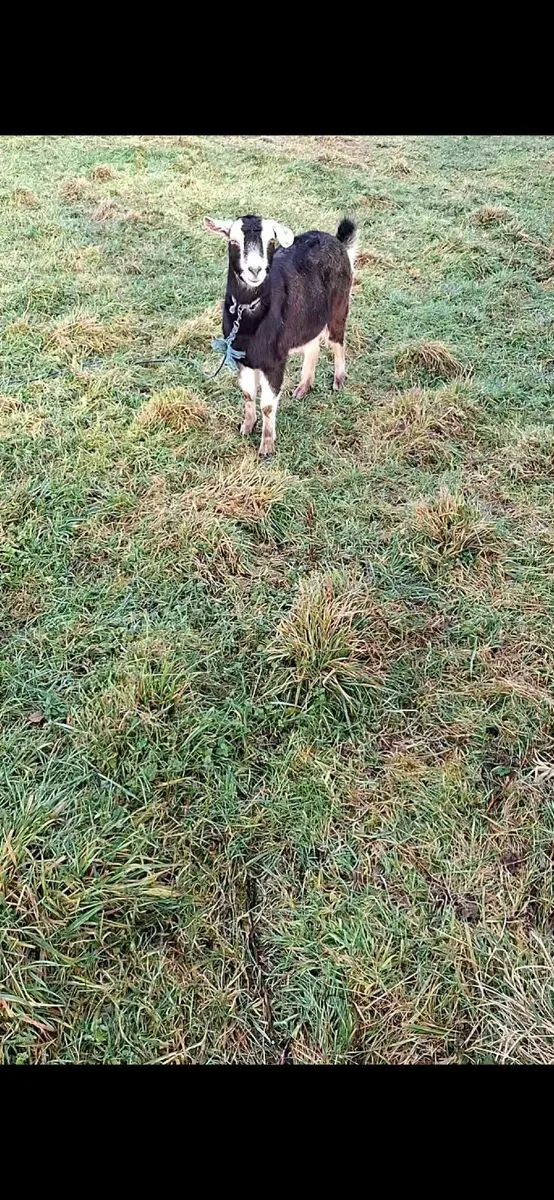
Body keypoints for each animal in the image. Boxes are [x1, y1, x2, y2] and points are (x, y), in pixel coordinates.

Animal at [204, 213, 358, 456]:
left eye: (270, 241)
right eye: (233, 241)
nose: (255, 270)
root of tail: (338, 241)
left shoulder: (274, 361)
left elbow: (267, 405)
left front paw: (267, 446)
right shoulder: (242, 358)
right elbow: (248, 394)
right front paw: (246, 427)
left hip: (339, 305)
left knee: (337, 340)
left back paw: (338, 381)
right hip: (308, 316)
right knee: (312, 345)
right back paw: (303, 387)